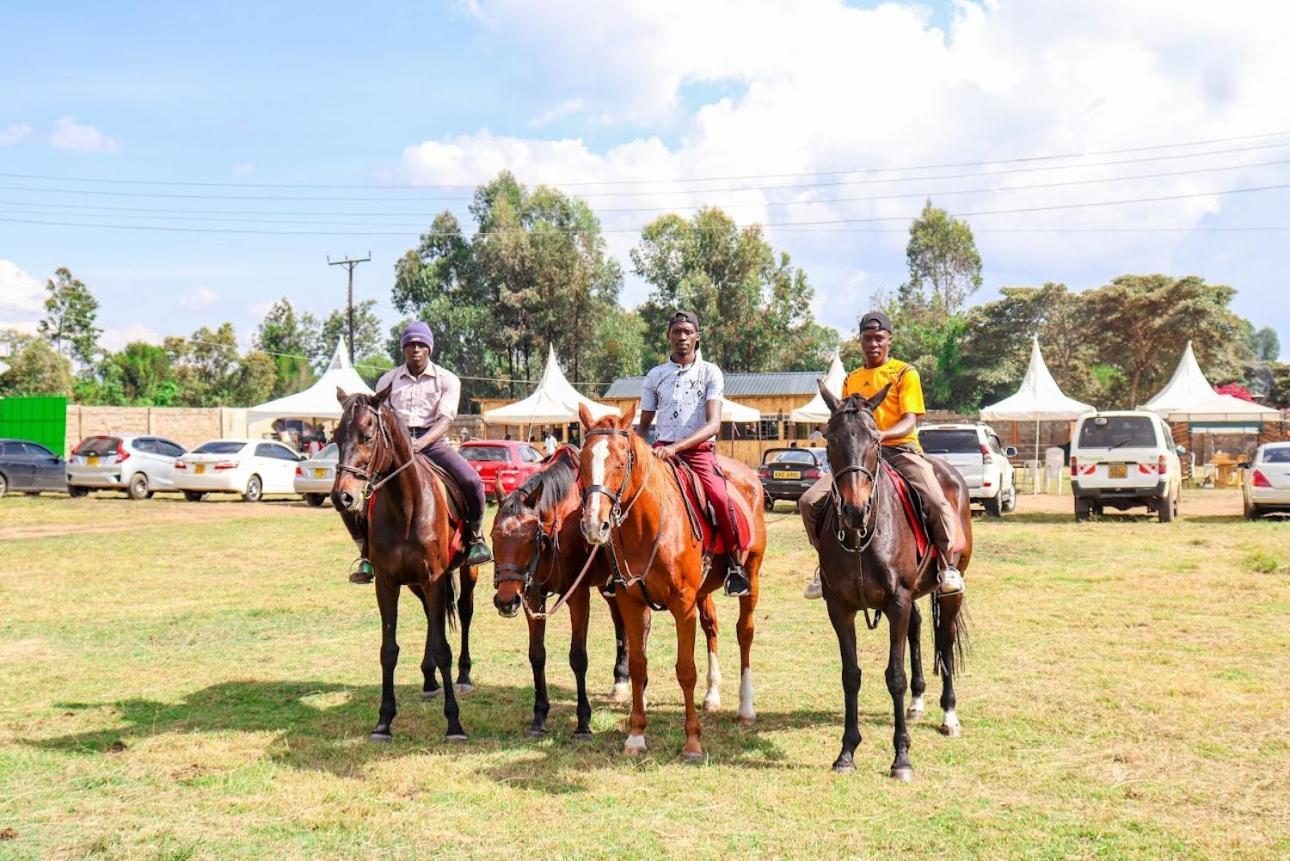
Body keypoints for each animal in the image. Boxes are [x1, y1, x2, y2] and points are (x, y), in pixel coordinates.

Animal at [332, 387, 479, 743]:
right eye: (335, 437)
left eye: (368, 436)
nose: (342, 497)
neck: (406, 507)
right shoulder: (388, 583)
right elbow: (389, 650)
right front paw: (383, 722)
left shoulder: (435, 578)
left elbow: (443, 648)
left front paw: (454, 724)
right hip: (414, 583)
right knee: (430, 616)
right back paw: (428, 679)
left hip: (465, 571)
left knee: (464, 612)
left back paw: (464, 676)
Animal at [487, 449, 634, 738]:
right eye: (493, 535)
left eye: (529, 538)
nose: (506, 601)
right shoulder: (533, 595)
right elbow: (536, 655)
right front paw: (539, 716)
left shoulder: (577, 597)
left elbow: (578, 657)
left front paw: (583, 721)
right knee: (620, 623)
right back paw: (621, 679)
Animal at [577, 405, 763, 759]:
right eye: (582, 461)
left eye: (620, 463)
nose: (595, 524)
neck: (647, 526)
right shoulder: (631, 602)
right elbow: (638, 665)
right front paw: (636, 735)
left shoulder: (682, 604)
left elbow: (685, 669)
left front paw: (692, 741)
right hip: (703, 591)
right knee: (712, 627)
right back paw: (712, 695)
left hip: (753, 577)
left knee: (744, 633)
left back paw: (746, 707)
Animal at [815, 384, 970, 779]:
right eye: (830, 439)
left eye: (874, 440)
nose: (854, 510)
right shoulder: (839, 606)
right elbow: (850, 674)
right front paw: (847, 752)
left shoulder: (896, 601)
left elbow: (894, 676)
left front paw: (901, 758)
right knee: (917, 628)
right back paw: (917, 702)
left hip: (949, 591)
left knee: (945, 640)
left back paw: (949, 715)